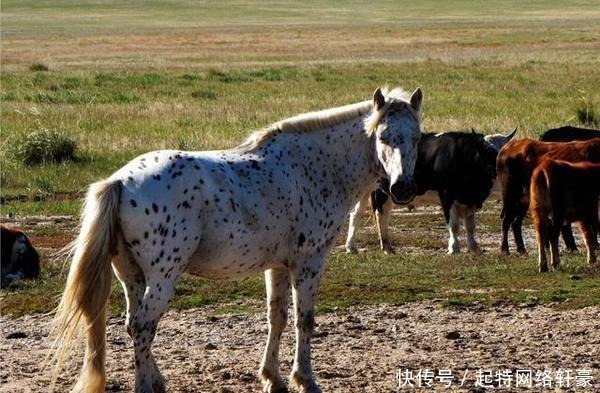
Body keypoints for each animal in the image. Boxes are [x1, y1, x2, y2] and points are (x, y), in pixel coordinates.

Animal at [51, 86, 424, 392]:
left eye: (417, 137)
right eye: (384, 137)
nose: (402, 188)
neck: (314, 167)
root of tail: (120, 181)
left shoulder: (278, 266)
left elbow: (277, 318)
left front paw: (272, 377)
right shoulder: (309, 262)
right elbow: (304, 320)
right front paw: (305, 379)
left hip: (131, 277)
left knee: (133, 324)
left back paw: (157, 380)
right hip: (162, 277)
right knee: (144, 325)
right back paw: (145, 386)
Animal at [344, 127, 516, 253]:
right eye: (490, 154)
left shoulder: (468, 199)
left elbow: (470, 225)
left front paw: (474, 248)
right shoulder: (446, 195)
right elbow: (454, 224)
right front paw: (454, 248)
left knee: (366, 214)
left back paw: (367, 247)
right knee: (375, 215)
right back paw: (373, 247)